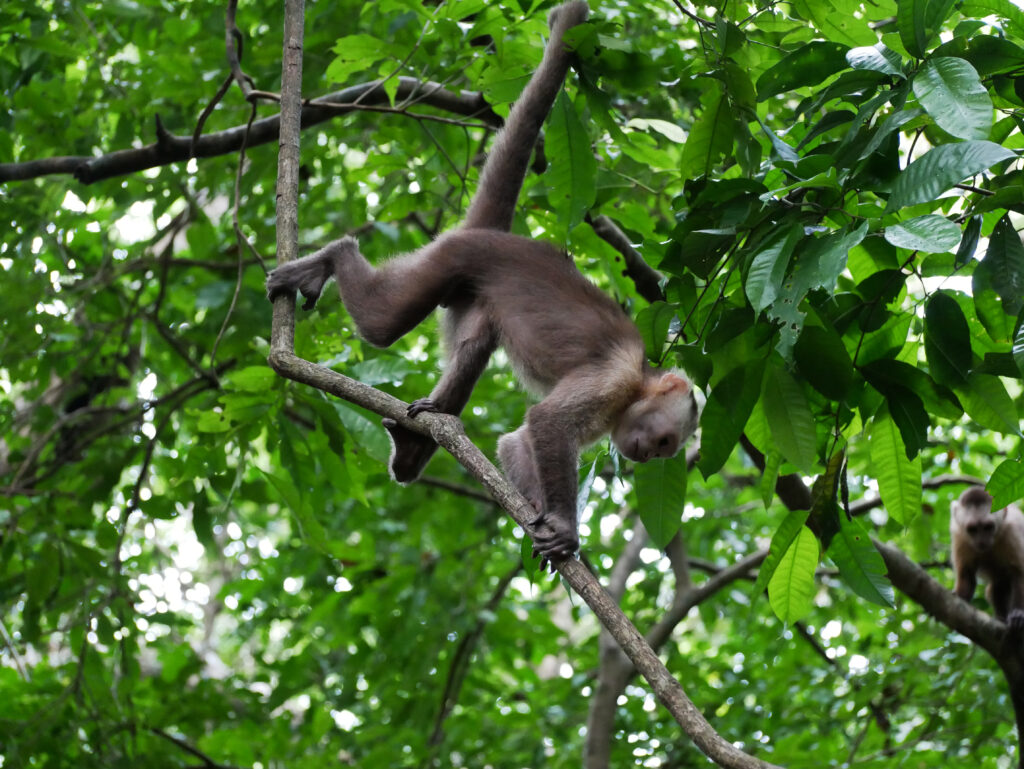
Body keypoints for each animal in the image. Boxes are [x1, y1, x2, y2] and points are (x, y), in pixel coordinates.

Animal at [264, 0, 700, 565]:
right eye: (666, 442)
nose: (649, 456)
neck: (641, 378)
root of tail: (496, 236)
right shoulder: (613, 381)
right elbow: (546, 423)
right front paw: (565, 526)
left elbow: (516, 441)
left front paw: (544, 527)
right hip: (453, 256)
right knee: (384, 323)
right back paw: (334, 257)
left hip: (471, 296)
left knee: (472, 349)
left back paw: (424, 434)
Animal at [946, 487, 1024, 630]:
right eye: (972, 529)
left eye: (988, 527)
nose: (982, 542)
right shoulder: (959, 535)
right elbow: (966, 573)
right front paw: (960, 596)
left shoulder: (1012, 530)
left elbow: (1019, 571)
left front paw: (1018, 613)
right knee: (997, 588)